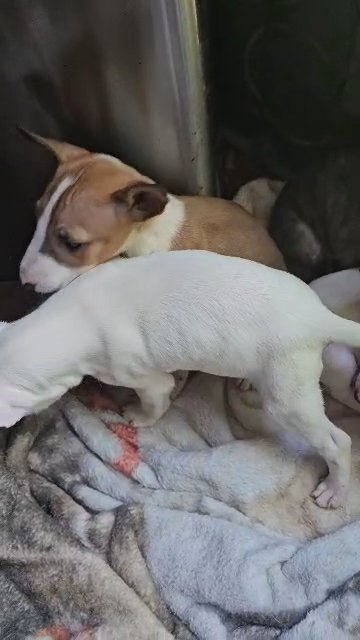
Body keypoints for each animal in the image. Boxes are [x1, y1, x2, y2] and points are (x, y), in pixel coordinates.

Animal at [0, 252, 360, 508]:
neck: (69, 321)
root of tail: (318, 317)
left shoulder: (142, 377)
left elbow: (155, 399)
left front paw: (137, 417)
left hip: (288, 396)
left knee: (338, 442)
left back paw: (334, 490)